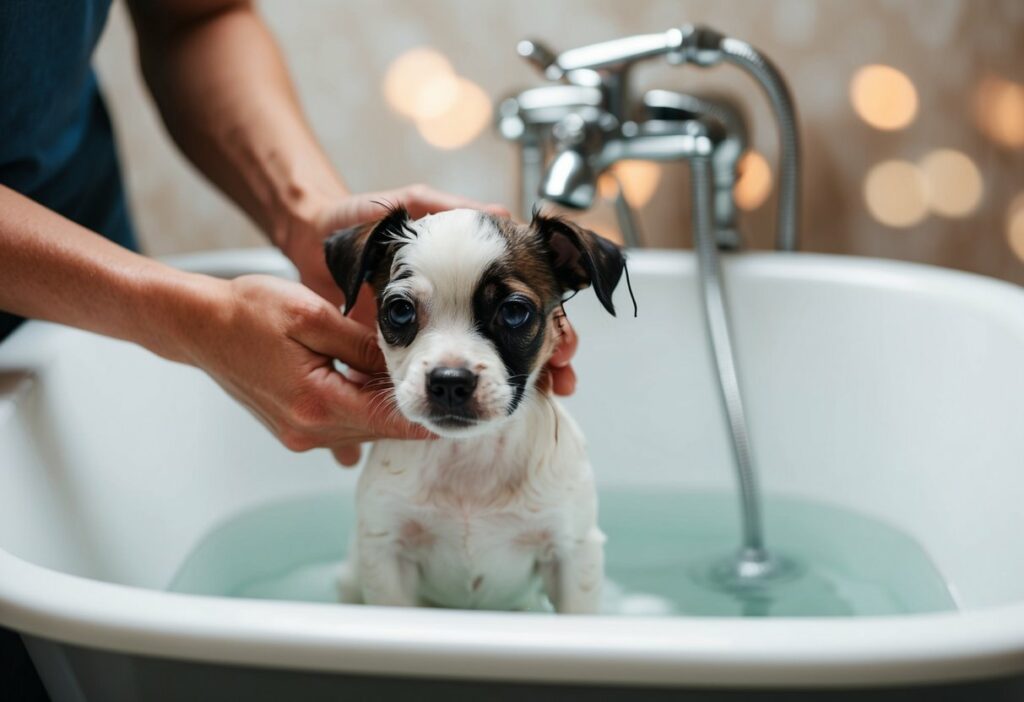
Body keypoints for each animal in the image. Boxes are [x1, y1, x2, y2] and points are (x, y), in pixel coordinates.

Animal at [323, 206, 626, 613]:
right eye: (400, 310)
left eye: (514, 312)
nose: (450, 380)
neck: (470, 456)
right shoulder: (388, 552)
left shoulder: (572, 554)